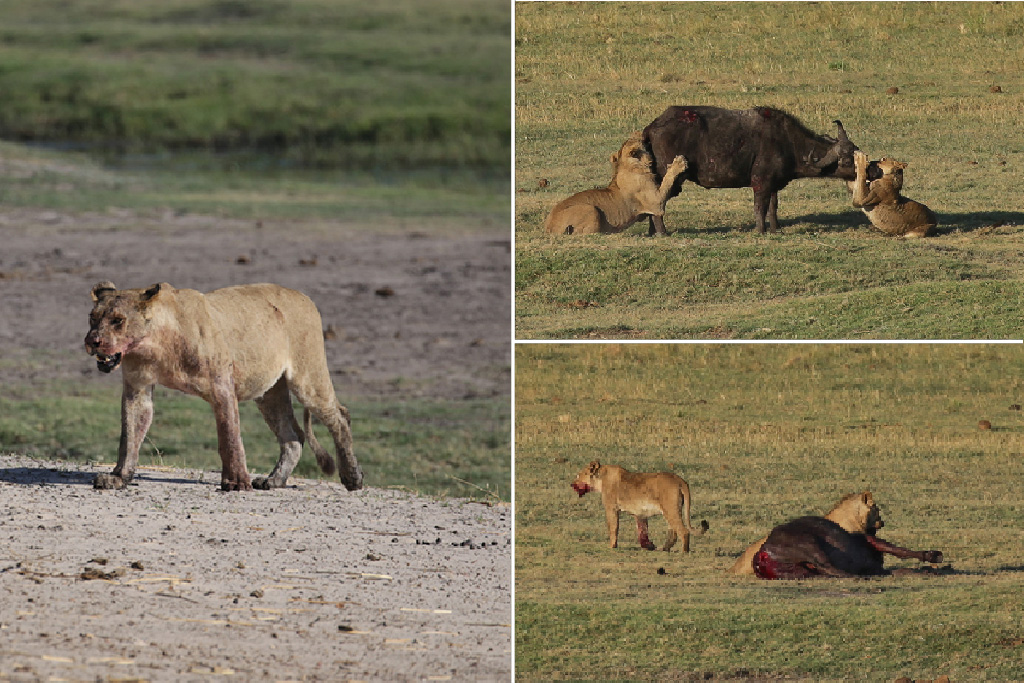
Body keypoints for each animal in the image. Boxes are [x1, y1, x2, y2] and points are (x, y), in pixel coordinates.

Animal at [643, 105, 860, 236]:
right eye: (849, 159)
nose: (868, 170)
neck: (788, 143)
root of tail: (653, 126)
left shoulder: (773, 184)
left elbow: (773, 207)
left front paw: (775, 229)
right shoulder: (760, 182)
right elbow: (760, 207)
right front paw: (761, 230)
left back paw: (652, 231)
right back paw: (662, 232)